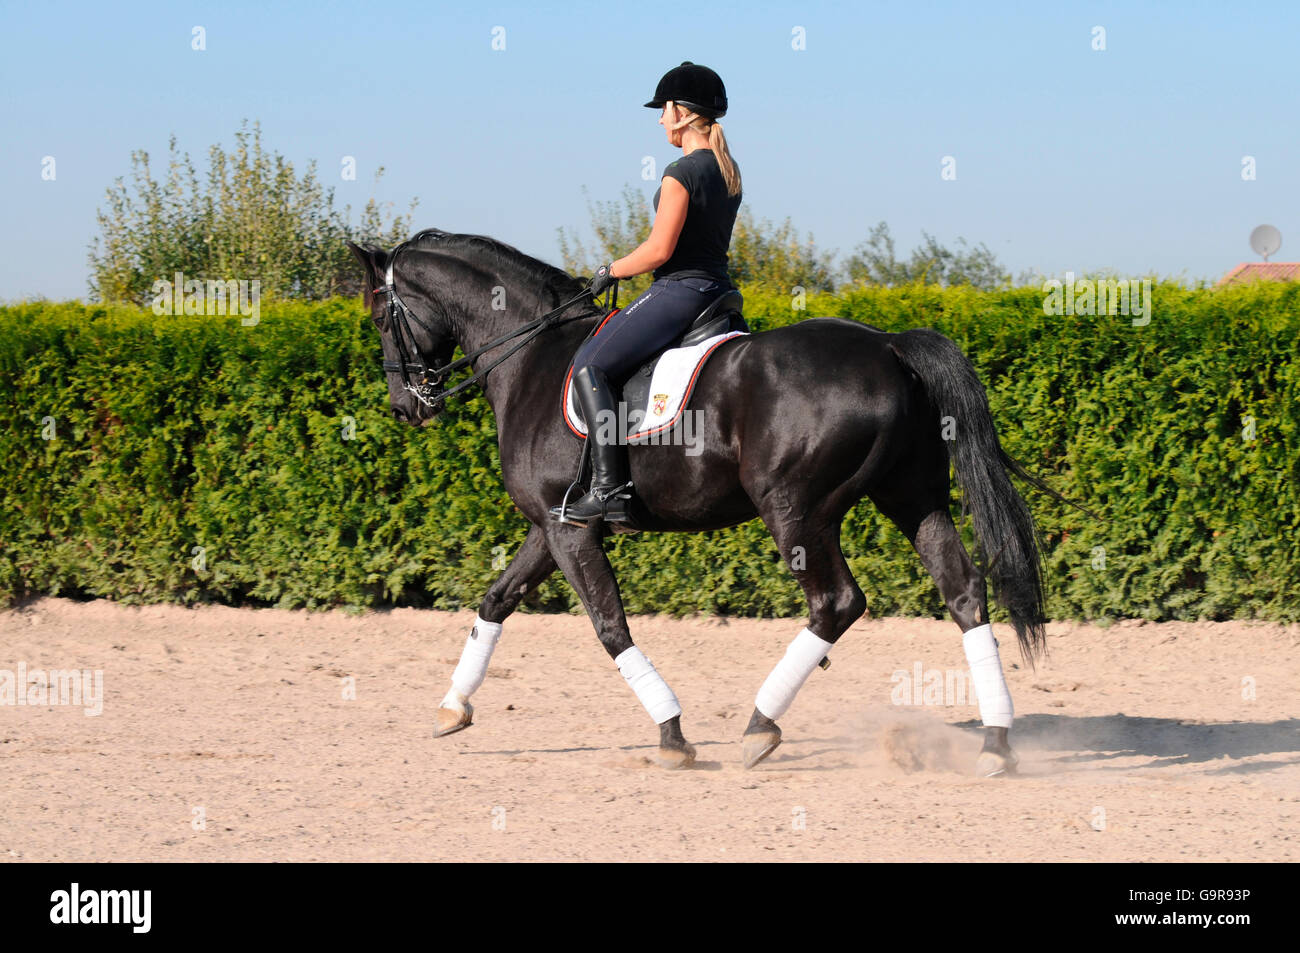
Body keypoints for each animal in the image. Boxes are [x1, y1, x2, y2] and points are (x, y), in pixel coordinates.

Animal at [353, 228, 1055, 774]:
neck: (530, 357)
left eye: (382, 316)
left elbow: (609, 627)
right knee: (964, 592)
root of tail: (887, 347)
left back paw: (759, 727)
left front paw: (672, 736)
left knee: (837, 603)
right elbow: (495, 601)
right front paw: (453, 707)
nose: (405, 406)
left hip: (794, 511)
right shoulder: (552, 525)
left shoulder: (571, 531)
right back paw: (995, 745)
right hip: (911, 497)